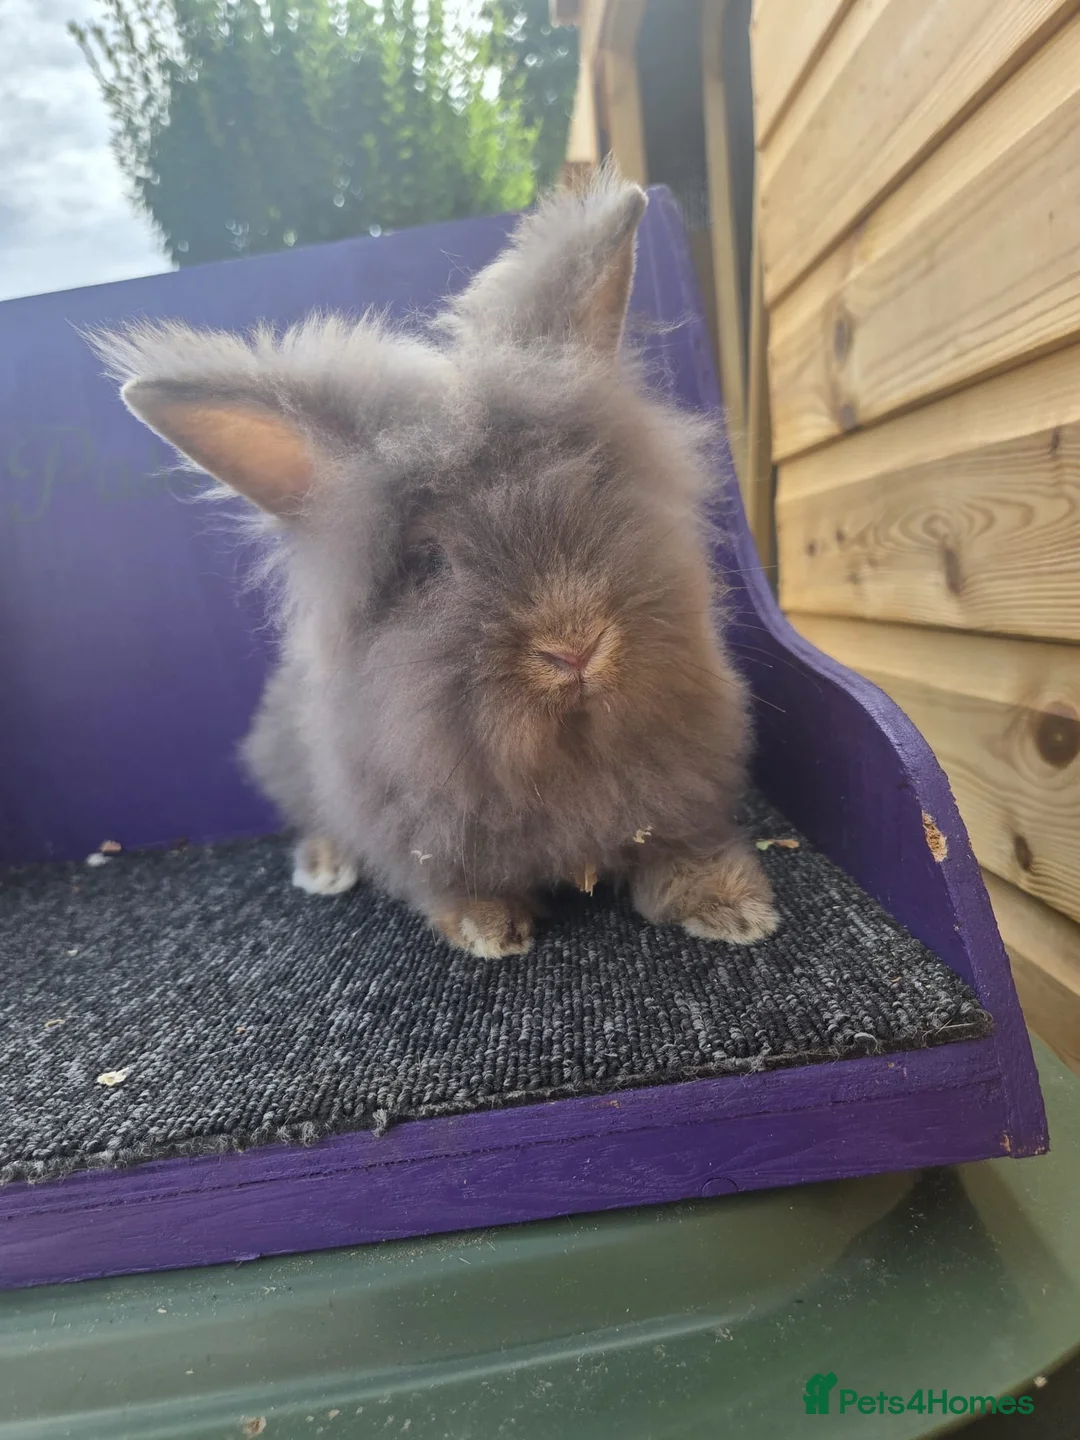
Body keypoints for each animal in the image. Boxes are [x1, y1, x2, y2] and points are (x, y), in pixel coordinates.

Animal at [93, 166, 780, 960]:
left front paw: (736, 910)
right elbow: (455, 889)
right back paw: (325, 869)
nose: (575, 646)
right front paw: (491, 932)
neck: (567, 754)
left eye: (595, 486)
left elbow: (682, 852)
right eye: (428, 559)